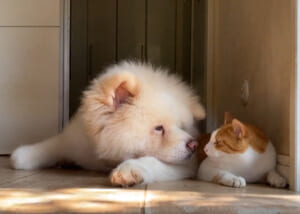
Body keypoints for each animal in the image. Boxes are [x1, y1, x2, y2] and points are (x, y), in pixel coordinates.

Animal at [10, 61, 205, 186]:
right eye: (159, 128)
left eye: (182, 126)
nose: (194, 145)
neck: (104, 158)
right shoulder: (73, 140)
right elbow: (48, 146)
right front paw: (22, 155)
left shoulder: (188, 165)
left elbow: (152, 161)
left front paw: (129, 170)